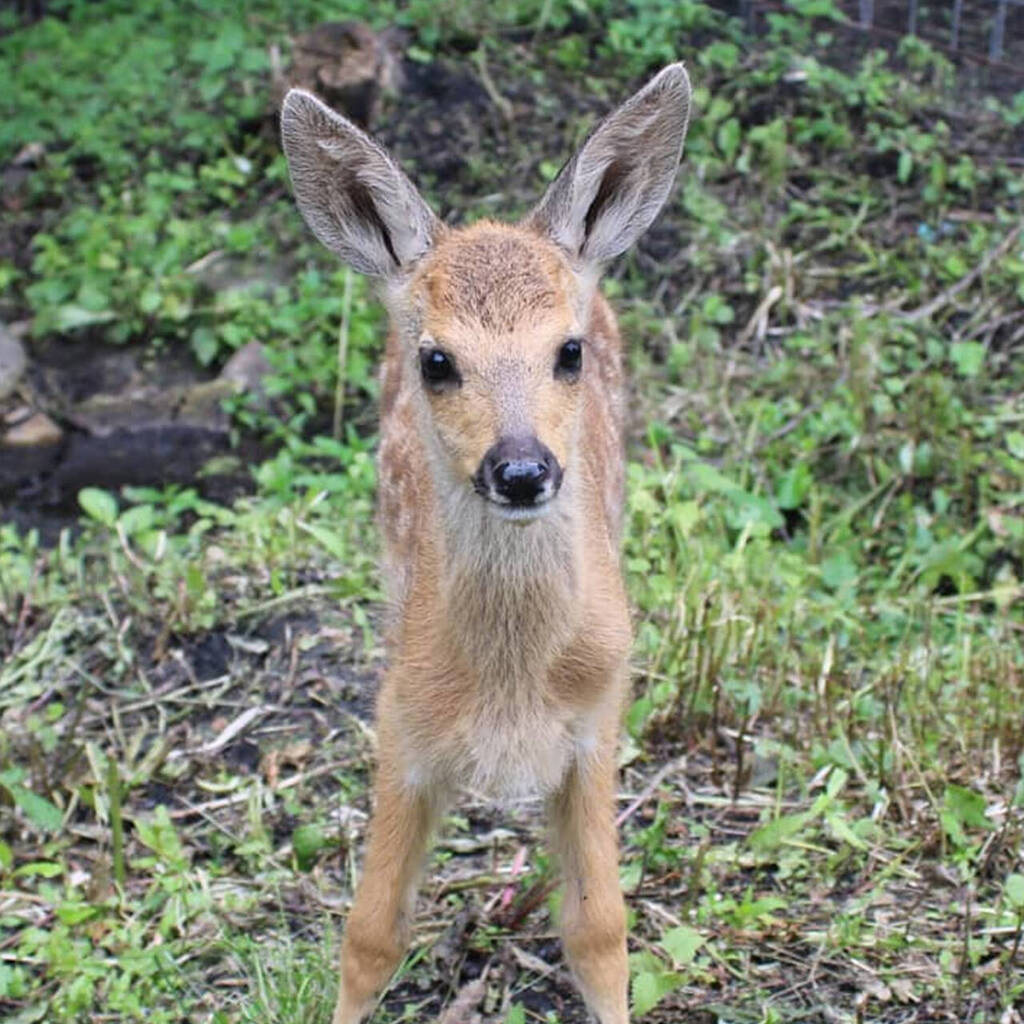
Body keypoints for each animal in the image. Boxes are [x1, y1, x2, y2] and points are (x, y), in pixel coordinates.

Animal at [284, 66, 692, 1024]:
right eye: (437, 361)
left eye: (568, 351)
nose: (521, 469)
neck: (509, 687)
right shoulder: (399, 724)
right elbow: (369, 934)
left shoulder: (597, 726)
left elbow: (600, 931)